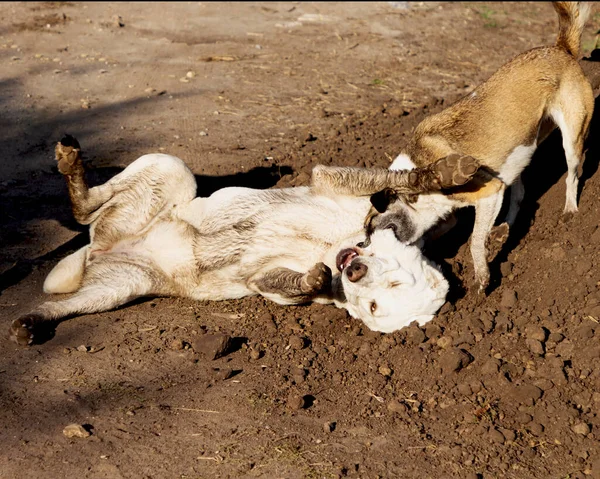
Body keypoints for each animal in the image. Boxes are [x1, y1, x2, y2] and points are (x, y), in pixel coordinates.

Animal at [9, 135, 478, 344]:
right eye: (394, 279)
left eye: (374, 307)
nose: (355, 270)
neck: (336, 245)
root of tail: (101, 245)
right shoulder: (331, 182)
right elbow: (396, 179)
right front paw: (445, 173)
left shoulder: (269, 282)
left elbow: (287, 284)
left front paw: (312, 279)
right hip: (170, 169)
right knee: (83, 209)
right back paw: (71, 163)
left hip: (122, 285)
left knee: (70, 301)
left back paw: (32, 323)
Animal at [328, 0, 596, 292]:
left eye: (370, 227)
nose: (357, 248)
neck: (417, 176)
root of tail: (560, 49)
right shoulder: (457, 209)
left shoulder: (489, 191)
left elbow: (475, 240)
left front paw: (482, 275)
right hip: (524, 149)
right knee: (520, 193)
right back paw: (505, 227)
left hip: (572, 137)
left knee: (572, 173)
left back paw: (569, 209)